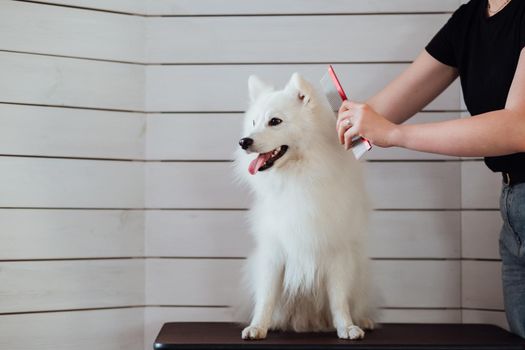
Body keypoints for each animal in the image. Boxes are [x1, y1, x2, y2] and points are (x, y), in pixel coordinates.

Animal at [232, 73, 372, 340]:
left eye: (275, 121)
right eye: (254, 122)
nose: (244, 141)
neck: (298, 177)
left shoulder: (336, 249)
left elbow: (339, 298)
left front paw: (347, 327)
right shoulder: (273, 251)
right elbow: (266, 297)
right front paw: (258, 326)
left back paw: (364, 320)